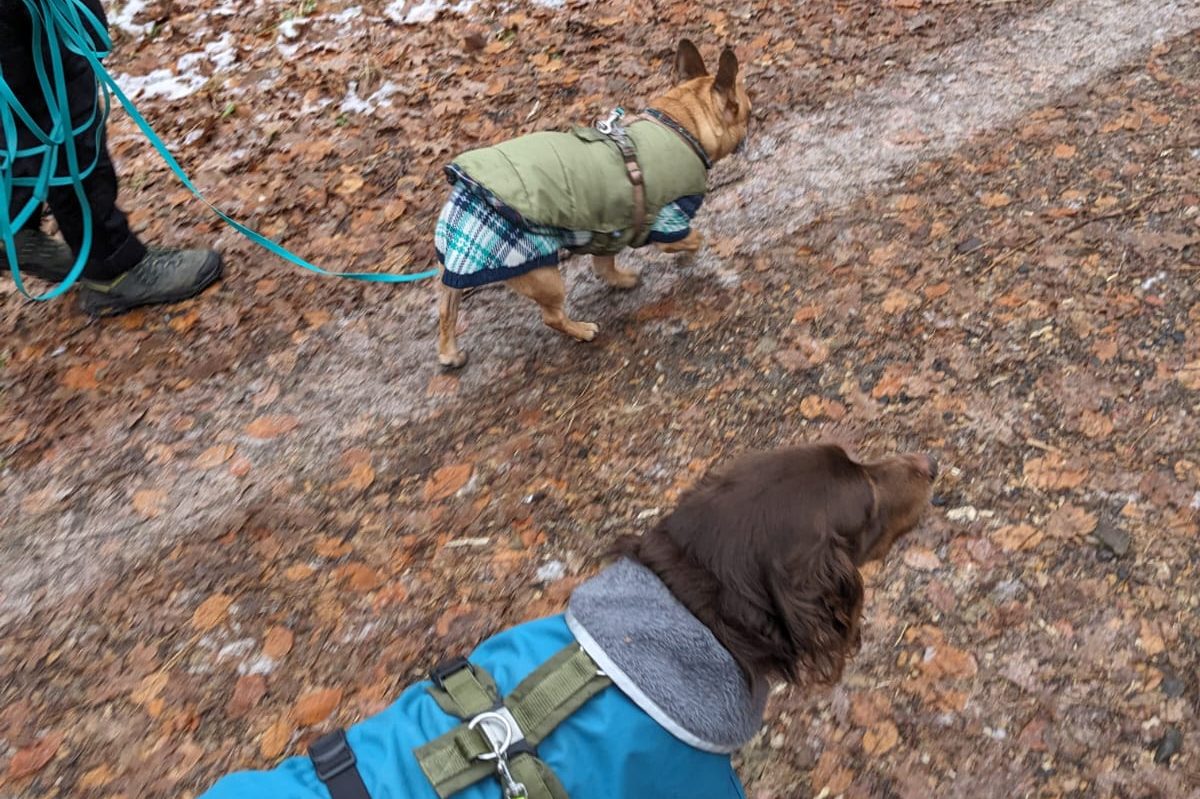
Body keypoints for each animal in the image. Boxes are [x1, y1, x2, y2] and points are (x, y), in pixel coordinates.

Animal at [432, 40, 748, 367]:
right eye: (746, 112)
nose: (750, 125)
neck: (682, 126)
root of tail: (461, 201)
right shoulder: (669, 221)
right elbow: (694, 238)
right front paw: (688, 256)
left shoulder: (609, 231)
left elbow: (604, 266)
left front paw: (622, 280)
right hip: (541, 274)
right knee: (551, 317)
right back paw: (582, 330)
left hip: (456, 276)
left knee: (446, 310)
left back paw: (450, 353)